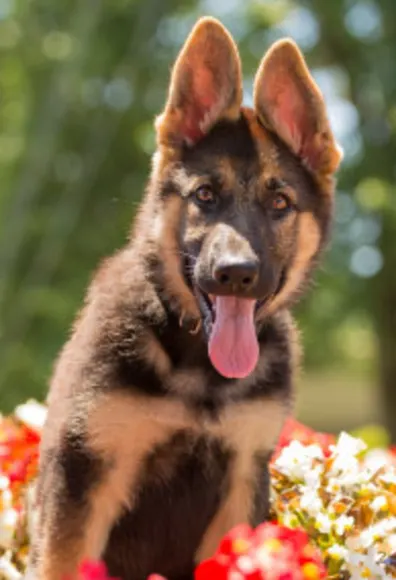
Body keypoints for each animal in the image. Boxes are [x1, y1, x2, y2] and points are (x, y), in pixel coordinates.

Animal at [27, 15, 342, 580]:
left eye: (280, 203)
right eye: (204, 196)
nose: (235, 274)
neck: (198, 368)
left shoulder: (241, 479)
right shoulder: (86, 473)